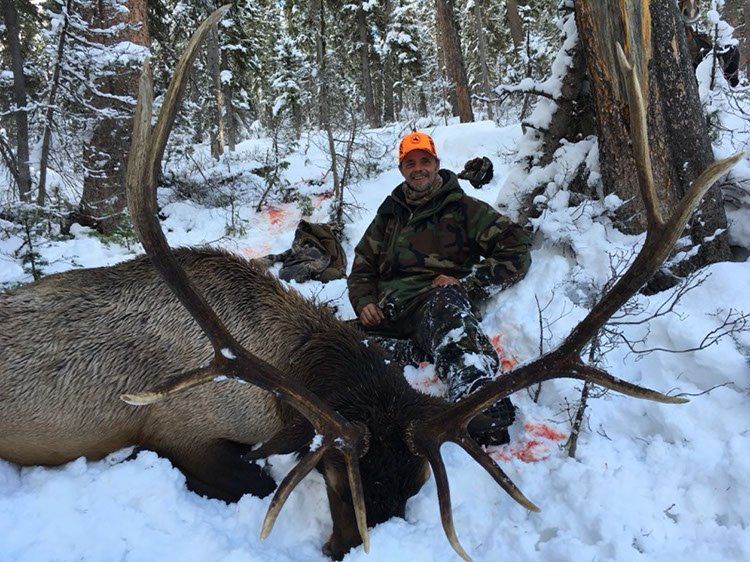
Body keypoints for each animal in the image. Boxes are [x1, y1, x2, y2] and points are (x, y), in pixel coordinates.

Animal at [0, 7, 743, 562]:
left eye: (412, 484)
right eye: (337, 477)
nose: (348, 547)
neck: (276, 365)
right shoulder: (178, 430)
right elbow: (250, 478)